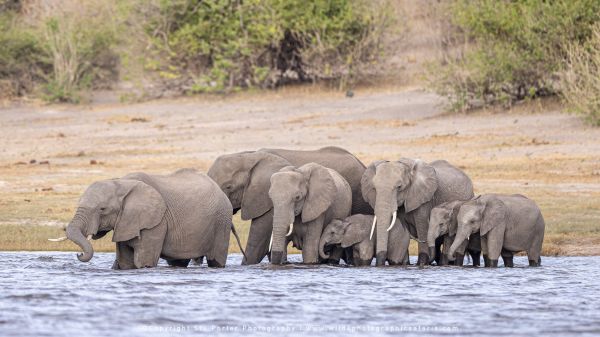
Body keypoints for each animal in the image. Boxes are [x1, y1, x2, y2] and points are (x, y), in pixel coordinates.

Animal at [48, 169, 241, 270]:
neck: (122, 183)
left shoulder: (156, 222)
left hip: (221, 221)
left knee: (216, 260)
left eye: (102, 209)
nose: (79, 254)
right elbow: (126, 263)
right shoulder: (125, 222)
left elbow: (144, 262)